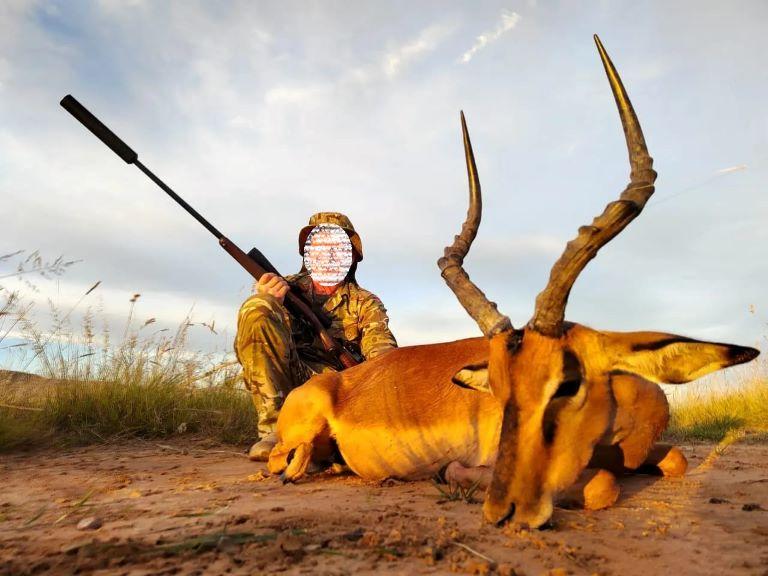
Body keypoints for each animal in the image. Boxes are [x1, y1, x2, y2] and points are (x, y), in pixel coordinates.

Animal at [267, 35, 759, 529]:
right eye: (500, 395)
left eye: (567, 384)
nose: (505, 509)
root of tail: (332, 384)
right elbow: (602, 484)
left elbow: (676, 459)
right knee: (281, 461)